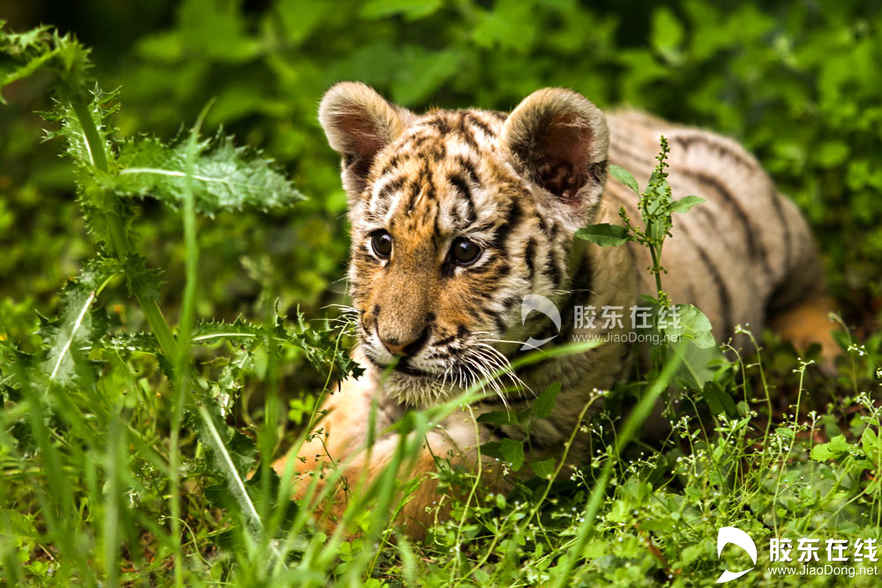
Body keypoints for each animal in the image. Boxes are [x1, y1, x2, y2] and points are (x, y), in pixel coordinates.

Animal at [273, 82, 838, 538]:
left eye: (465, 252)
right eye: (382, 244)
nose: (396, 342)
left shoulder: (522, 445)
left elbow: (384, 485)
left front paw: (281, 515)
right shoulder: (368, 385)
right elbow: (322, 441)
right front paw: (275, 476)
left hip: (783, 235)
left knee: (811, 290)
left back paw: (822, 348)